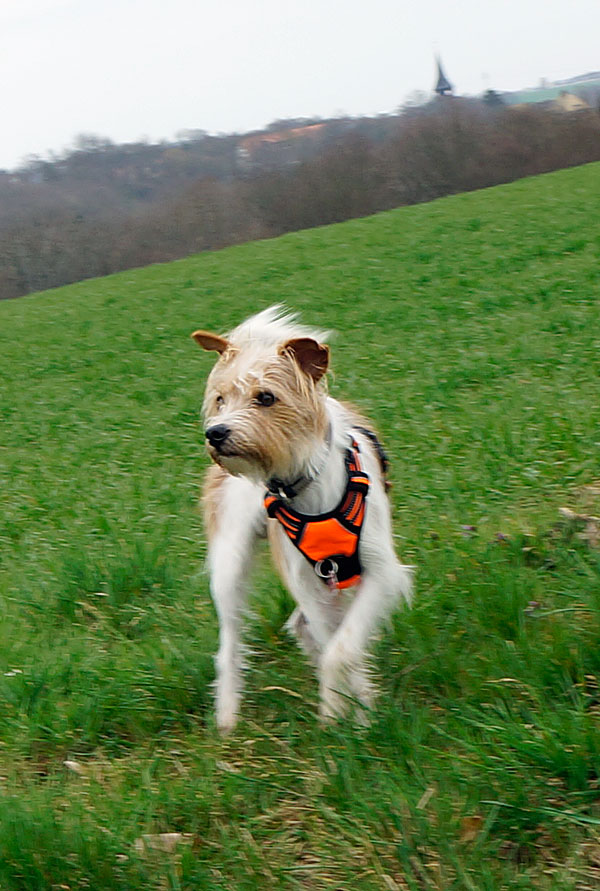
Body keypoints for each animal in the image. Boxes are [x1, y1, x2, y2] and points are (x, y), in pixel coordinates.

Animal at [192, 306, 413, 732]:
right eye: (220, 399)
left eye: (266, 397)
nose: (216, 433)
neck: (304, 481)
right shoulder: (305, 578)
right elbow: (335, 644)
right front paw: (343, 708)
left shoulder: (378, 572)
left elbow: (342, 647)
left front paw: (355, 711)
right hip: (229, 563)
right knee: (230, 644)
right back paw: (227, 715)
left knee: (304, 628)